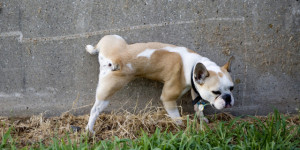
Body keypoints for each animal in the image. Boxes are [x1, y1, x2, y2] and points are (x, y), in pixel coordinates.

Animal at [84, 34, 234, 134]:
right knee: (95, 109)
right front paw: (182, 127)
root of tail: (115, 60)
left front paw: (202, 119)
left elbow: (198, 107)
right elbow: (176, 116)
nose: (228, 98)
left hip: (114, 38)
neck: (194, 66)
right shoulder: (168, 98)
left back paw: (91, 48)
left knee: (98, 45)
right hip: (108, 90)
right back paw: (90, 129)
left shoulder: (195, 89)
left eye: (231, 88)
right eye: (216, 92)